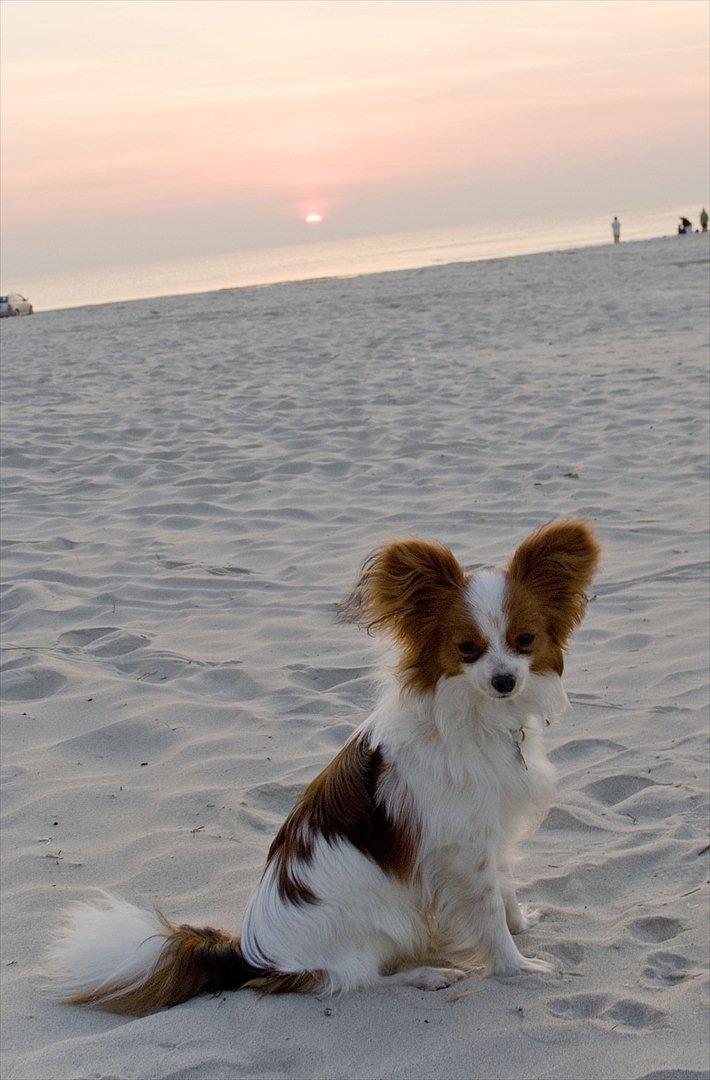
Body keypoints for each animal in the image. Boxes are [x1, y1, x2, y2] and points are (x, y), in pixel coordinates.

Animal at [45, 518, 596, 1015]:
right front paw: (516, 966)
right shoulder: (462, 844)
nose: (505, 681)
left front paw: (522, 925)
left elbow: (505, 888)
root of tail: (252, 956)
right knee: (355, 979)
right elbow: (487, 909)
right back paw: (425, 974)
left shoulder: (491, 828)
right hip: (385, 919)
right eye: (468, 649)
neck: (479, 717)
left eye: (525, 641)